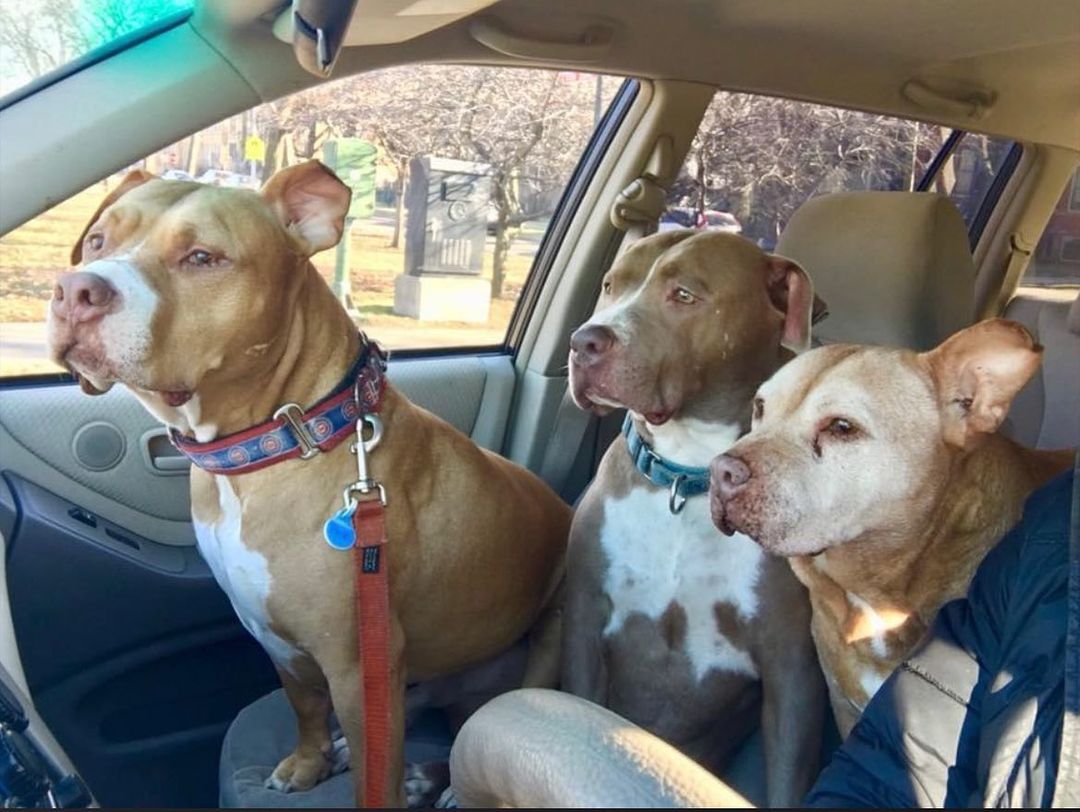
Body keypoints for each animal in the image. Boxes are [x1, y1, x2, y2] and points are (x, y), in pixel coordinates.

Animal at [48, 161, 574, 807]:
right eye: (99, 240)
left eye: (202, 257)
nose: (76, 290)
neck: (277, 440)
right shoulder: (274, 635)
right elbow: (304, 705)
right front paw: (309, 762)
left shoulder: (355, 660)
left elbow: (378, 759)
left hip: (549, 634)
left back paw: (439, 780)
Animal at [557, 228, 825, 807]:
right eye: (611, 285)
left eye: (683, 295)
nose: (583, 341)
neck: (686, 477)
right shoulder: (584, 621)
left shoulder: (791, 670)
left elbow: (788, 777)